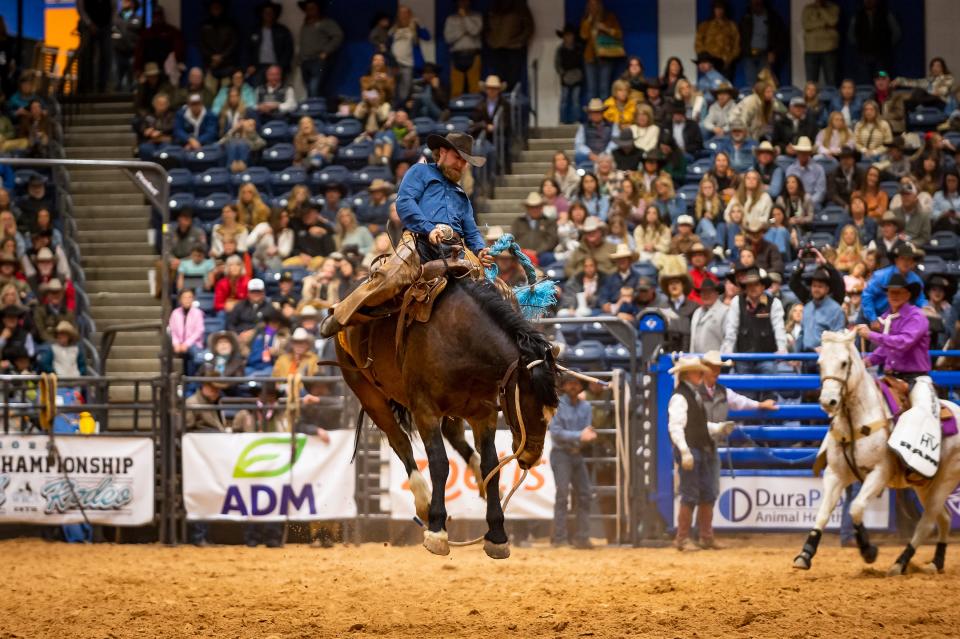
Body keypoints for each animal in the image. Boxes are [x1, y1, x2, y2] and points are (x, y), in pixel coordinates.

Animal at [338, 278, 564, 556]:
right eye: (527, 404)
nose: (531, 458)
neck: (462, 338)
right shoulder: (425, 410)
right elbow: (439, 463)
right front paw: (437, 530)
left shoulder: (483, 413)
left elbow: (491, 464)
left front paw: (497, 534)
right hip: (367, 392)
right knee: (399, 441)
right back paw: (423, 502)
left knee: (454, 436)